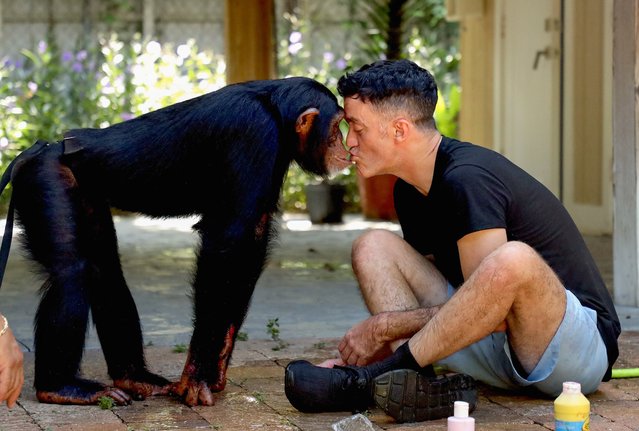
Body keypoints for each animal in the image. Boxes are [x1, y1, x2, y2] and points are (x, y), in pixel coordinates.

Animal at [0, 77, 350, 404]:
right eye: (336, 127)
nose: (346, 148)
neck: (275, 113)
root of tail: (45, 147)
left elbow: (249, 245)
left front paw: (216, 366)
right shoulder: (253, 133)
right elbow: (227, 242)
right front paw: (196, 376)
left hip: (87, 191)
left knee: (105, 268)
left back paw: (134, 378)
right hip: (45, 177)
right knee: (72, 272)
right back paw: (59, 386)